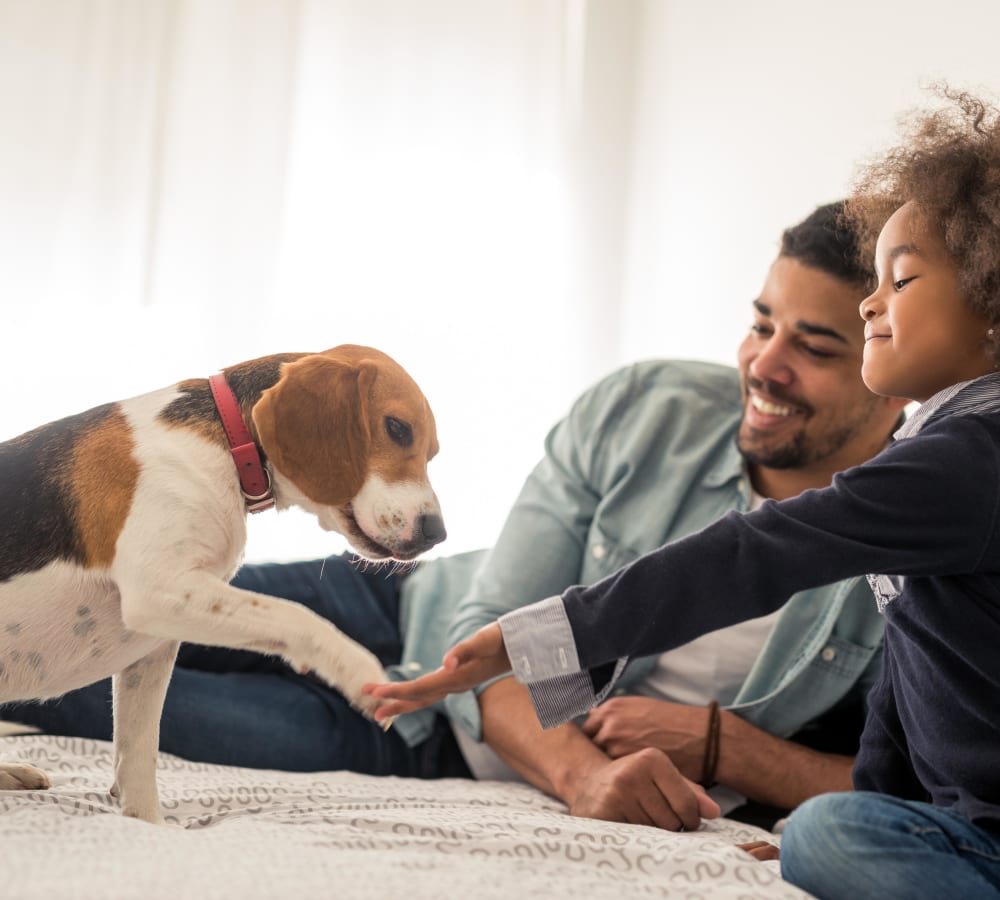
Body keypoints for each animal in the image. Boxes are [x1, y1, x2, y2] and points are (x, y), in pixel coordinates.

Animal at [0, 342, 446, 824]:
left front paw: (148, 825)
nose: (437, 533)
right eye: (397, 428)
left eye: (431, 453)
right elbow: (296, 615)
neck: (228, 444)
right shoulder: (159, 589)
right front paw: (357, 670)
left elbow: (138, 755)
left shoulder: (154, 644)